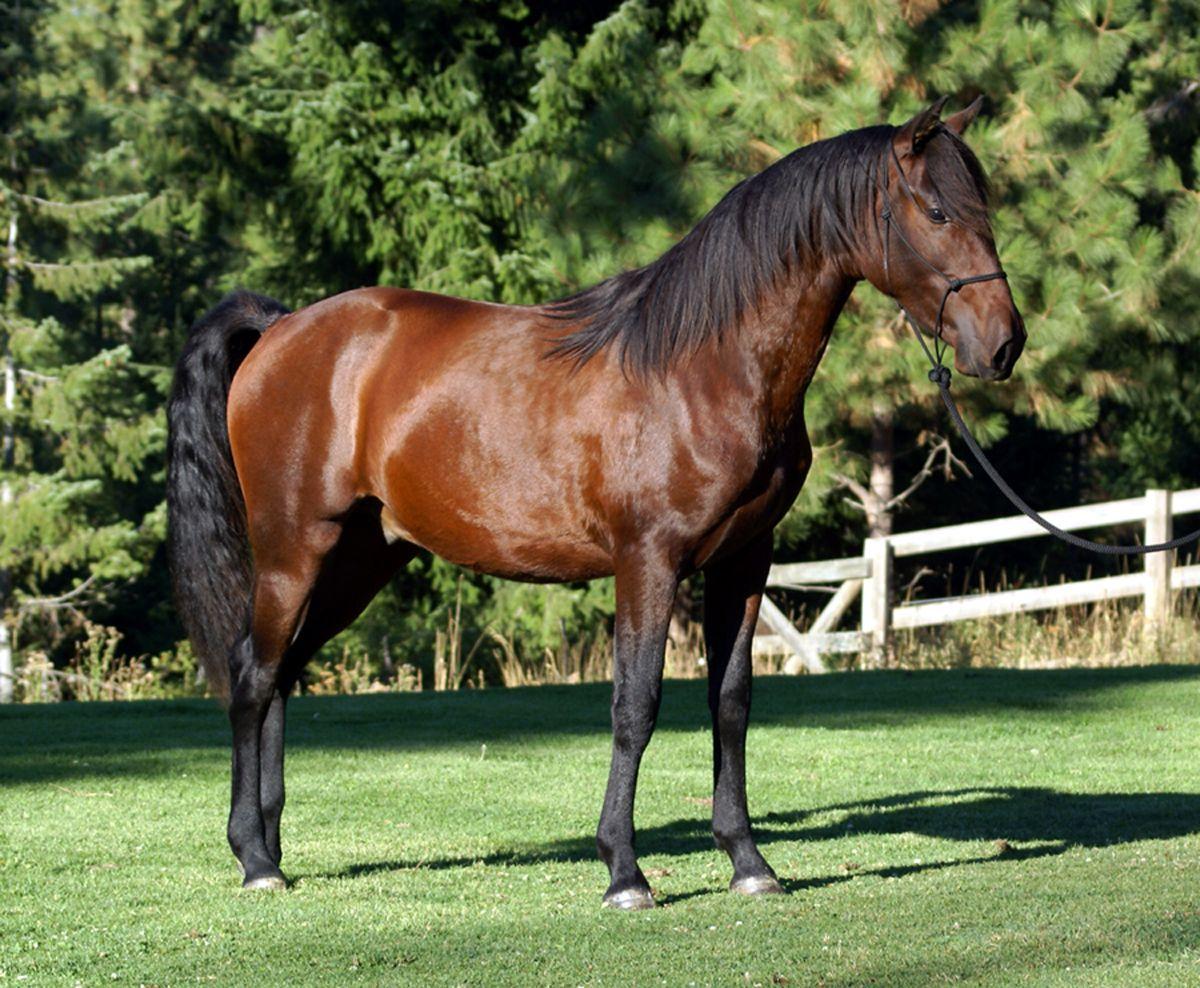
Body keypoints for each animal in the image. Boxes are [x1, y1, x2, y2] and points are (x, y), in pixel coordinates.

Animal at [166, 97, 1025, 908]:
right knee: (253, 674)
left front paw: (749, 862)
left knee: (282, 672)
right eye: (937, 211)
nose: (1003, 344)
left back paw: (272, 844)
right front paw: (624, 872)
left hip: (360, 560)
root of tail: (282, 329)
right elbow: (634, 705)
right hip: (294, 548)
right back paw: (254, 860)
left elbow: (731, 704)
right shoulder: (648, 560)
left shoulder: (744, 562)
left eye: (984, 207)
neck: (703, 366)